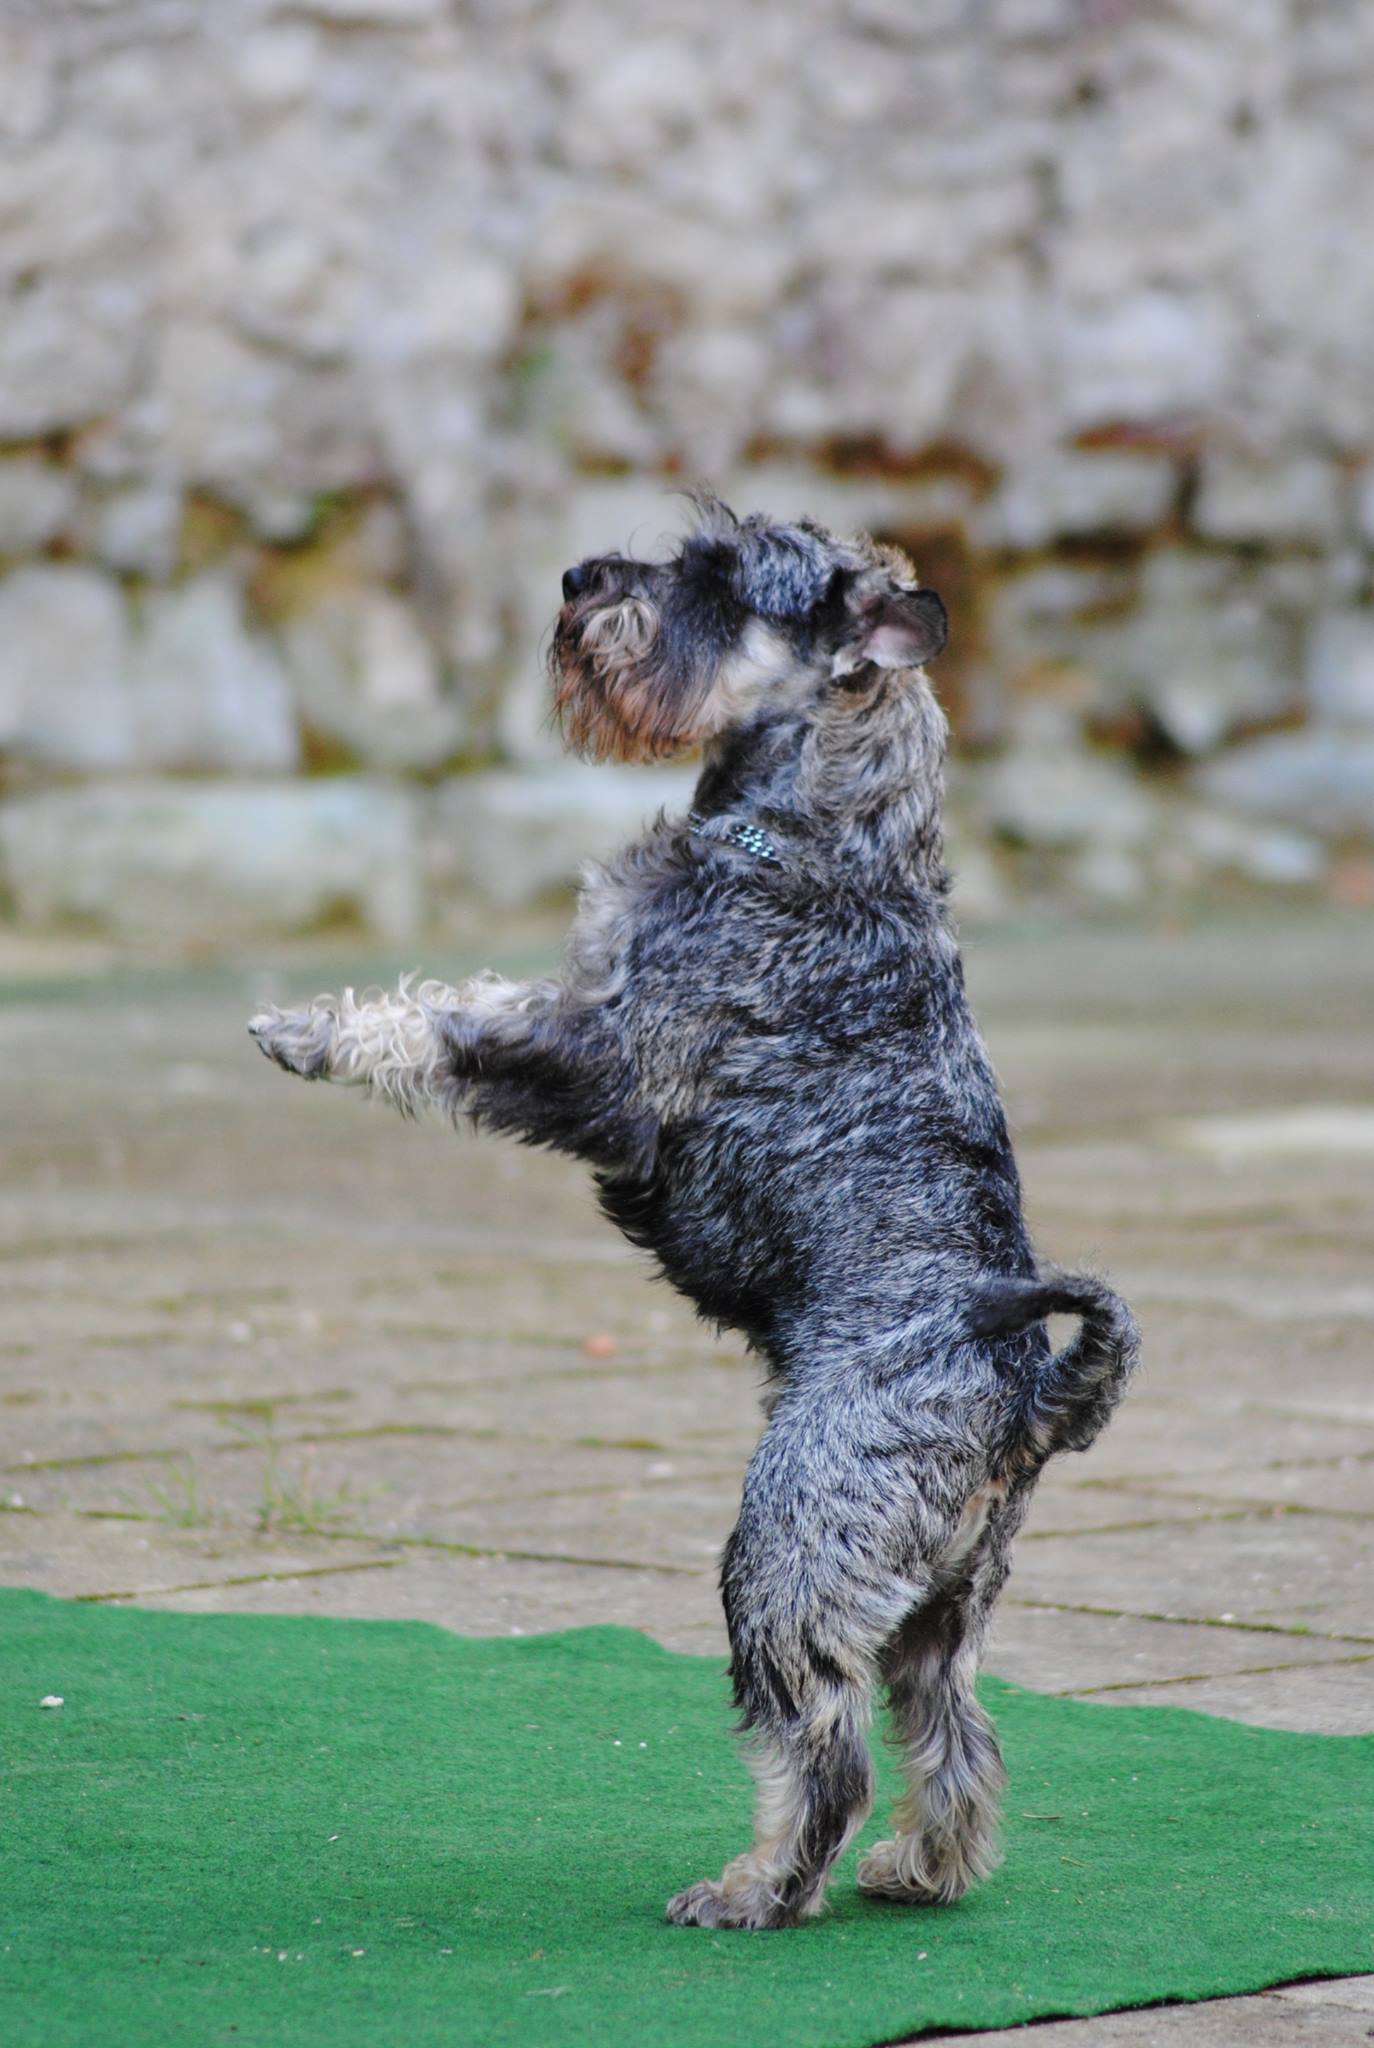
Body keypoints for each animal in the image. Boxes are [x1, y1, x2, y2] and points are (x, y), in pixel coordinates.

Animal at [250, 494, 1139, 1930]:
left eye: (728, 576)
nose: (578, 579)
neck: (829, 833)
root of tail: (1026, 1397)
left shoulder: (605, 1065)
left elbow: (447, 1025)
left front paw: (310, 1031)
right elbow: (474, 992)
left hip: (782, 1556)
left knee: (820, 1743)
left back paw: (757, 1887)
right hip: (940, 1607)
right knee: (953, 1734)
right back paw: (916, 1869)